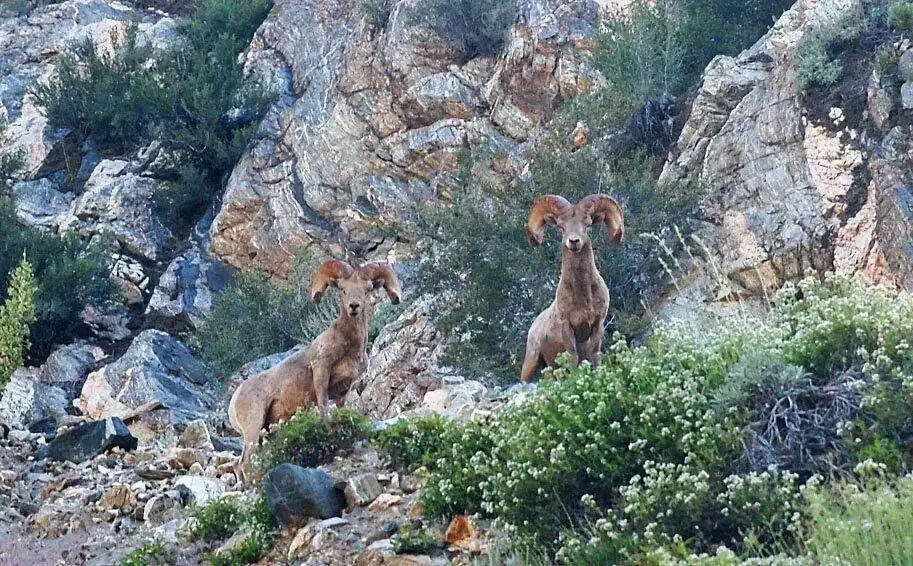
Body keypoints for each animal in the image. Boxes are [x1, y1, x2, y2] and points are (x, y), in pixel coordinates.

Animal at [227, 262, 400, 480]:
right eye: (343, 290)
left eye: (366, 290)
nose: (354, 306)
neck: (349, 346)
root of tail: (235, 399)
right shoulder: (321, 373)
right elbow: (323, 407)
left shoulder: (343, 391)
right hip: (253, 427)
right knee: (245, 462)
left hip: (261, 431)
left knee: (239, 463)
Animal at [524, 193, 624, 384]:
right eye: (561, 227)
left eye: (587, 225)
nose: (574, 241)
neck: (582, 296)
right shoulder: (567, 327)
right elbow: (573, 358)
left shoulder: (598, 324)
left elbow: (594, 355)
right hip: (531, 363)